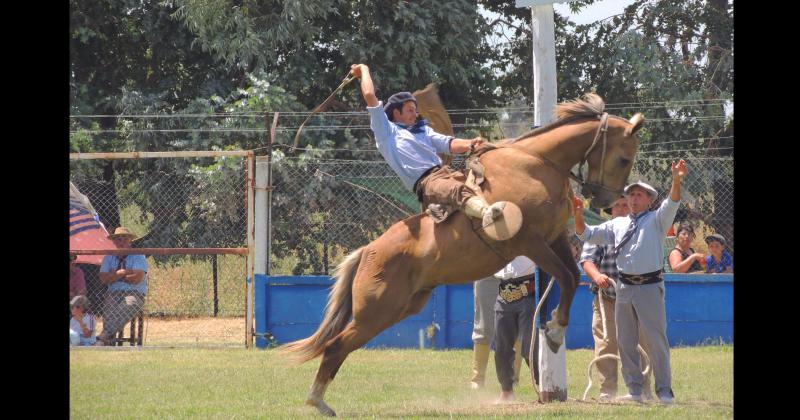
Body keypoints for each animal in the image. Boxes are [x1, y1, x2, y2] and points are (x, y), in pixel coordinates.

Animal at [282, 93, 644, 416]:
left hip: (400, 307)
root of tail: (368, 250)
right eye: (624, 159)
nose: (607, 203)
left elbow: (571, 276)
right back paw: (316, 401)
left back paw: (319, 401)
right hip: (376, 310)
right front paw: (554, 331)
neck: (534, 164)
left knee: (339, 346)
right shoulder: (529, 241)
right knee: (335, 346)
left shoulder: (553, 239)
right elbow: (567, 278)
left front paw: (555, 328)